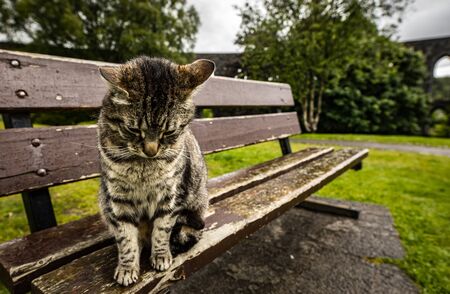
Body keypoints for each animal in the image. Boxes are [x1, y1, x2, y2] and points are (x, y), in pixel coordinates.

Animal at [97, 56, 214, 286]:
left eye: (169, 131)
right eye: (133, 129)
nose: (151, 151)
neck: (144, 167)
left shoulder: (170, 197)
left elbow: (162, 230)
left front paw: (161, 256)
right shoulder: (118, 200)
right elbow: (125, 239)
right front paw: (127, 268)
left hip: (197, 205)